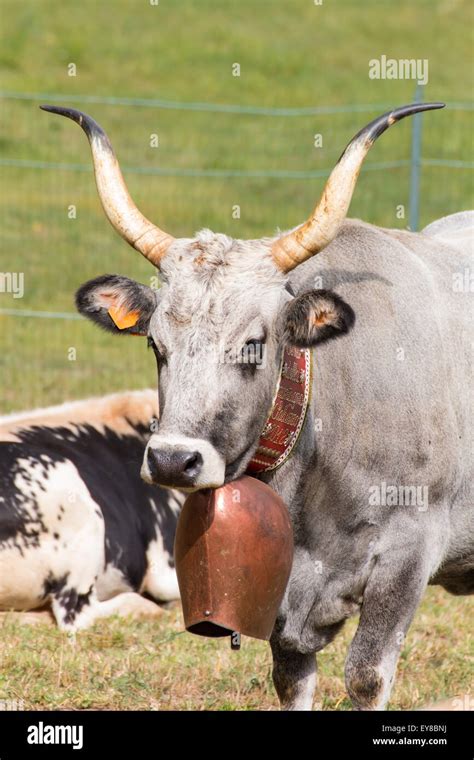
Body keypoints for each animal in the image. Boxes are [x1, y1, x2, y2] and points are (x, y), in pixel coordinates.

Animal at [42, 99, 472, 708]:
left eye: (253, 343)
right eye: (155, 344)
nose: (172, 460)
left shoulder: (408, 555)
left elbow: (366, 675)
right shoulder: (286, 597)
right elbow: (291, 678)